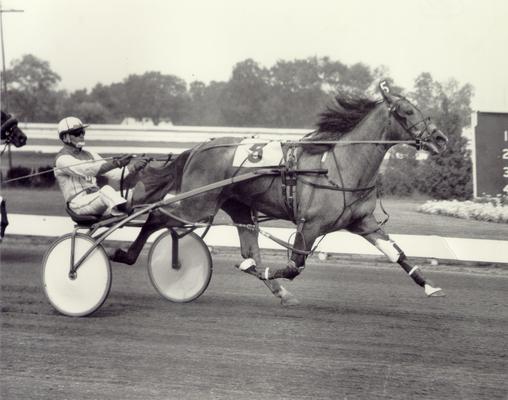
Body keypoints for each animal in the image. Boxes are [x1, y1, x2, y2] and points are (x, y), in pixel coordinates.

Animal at [112, 83, 448, 304]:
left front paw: (430, 286)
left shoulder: (363, 222)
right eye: (407, 110)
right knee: (156, 215)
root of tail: (197, 148)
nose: (441, 139)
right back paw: (125, 254)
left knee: (249, 250)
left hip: (237, 207)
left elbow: (397, 253)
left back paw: (278, 291)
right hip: (196, 204)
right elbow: (294, 266)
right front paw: (270, 273)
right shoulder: (310, 225)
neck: (339, 166)